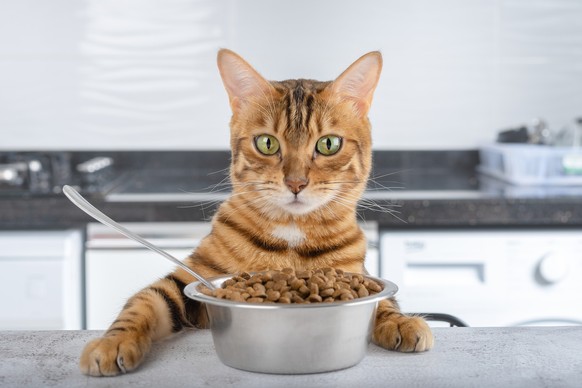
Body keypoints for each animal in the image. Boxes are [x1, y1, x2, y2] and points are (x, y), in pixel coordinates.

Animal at [78, 48, 434, 376]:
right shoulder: (189, 279)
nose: (296, 183)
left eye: (329, 144)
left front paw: (404, 322)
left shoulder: (358, 272)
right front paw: (110, 344)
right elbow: (140, 305)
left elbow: (385, 302)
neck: (292, 234)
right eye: (266, 143)